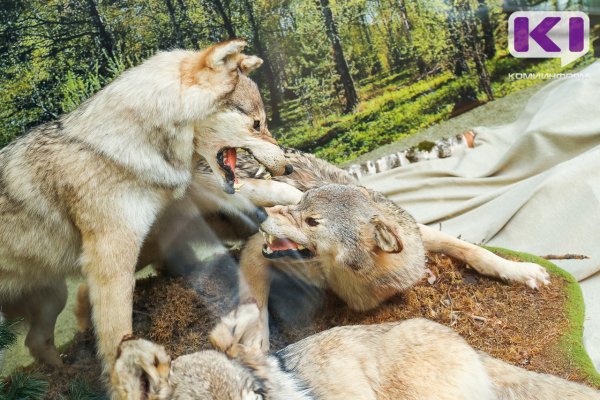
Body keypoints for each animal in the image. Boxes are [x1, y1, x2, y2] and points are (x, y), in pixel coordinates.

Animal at [0, 38, 292, 378]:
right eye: (257, 124)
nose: (287, 166)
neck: (123, 147)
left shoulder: (183, 195)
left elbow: (254, 190)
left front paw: (293, 196)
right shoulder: (111, 264)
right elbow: (118, 336)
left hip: (54, 295)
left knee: (35, 341)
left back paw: (65, 374)